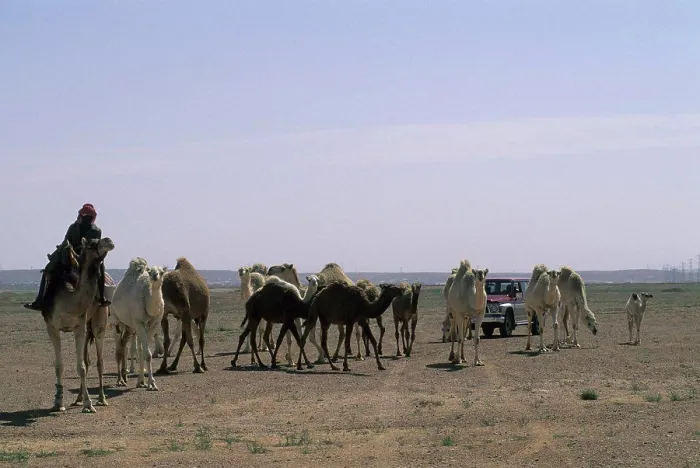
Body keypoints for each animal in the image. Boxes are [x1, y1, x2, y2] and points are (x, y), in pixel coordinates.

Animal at [42, 237, 115, 413]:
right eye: (92, 243)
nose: (109, 241)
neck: (67, 300)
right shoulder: (52, 327)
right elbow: (59, 366)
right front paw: (58, 402)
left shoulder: (79, 327)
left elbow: (80, 367)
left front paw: (89, 404)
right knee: (88, 360)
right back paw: (78, 399)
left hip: (99, 320)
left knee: (99, 361)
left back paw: (101, 399)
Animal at [111, 257, 167, 390]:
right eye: (150, 271)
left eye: (162, 272)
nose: (155, 276)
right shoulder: (139, 323)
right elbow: (147, 354)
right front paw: (151, 384)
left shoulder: (154, 324)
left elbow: (145, 352)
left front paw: (143, 381)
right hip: (117, 321)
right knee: (119, 346)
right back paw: (120, 380)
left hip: (130, 326)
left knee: (125, 345)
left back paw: (127, 377)